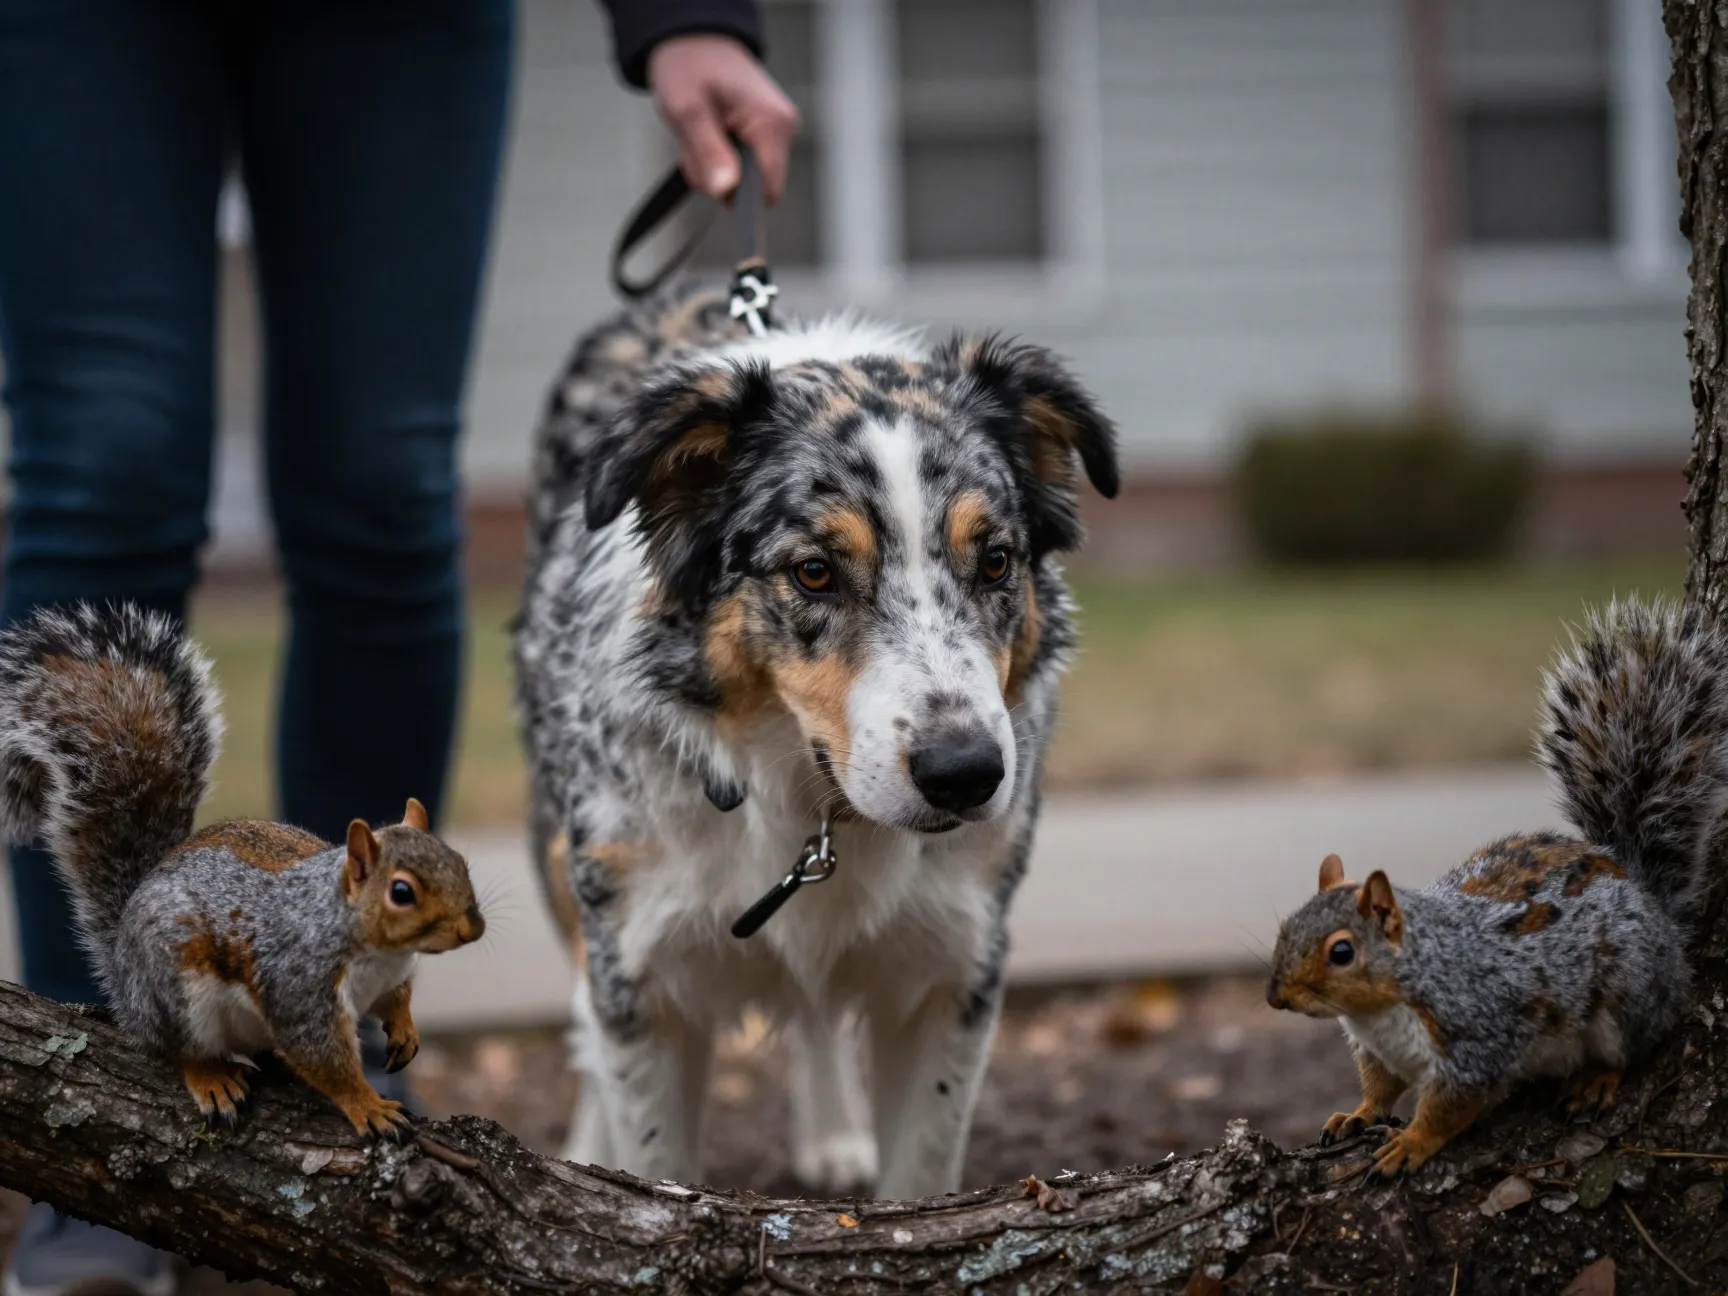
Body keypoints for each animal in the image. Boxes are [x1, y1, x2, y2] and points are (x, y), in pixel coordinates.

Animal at [0, 603, 485, 1139]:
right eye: (401, 892)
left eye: (459, 862)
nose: (472, 928)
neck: (375, 948)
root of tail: (125, 981)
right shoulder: (298, 988)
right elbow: (324, 1061)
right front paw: (367, 1105)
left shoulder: (386, 977)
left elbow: (395, 1000)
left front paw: (404, 1029)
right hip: (174, 990)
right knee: (177, 1048)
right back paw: (210, 1077)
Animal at [1267, 596, 1728, 1179]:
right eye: (1285, 927)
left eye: (1342, 952)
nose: (1275, 997)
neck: (1381, 1012)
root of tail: (1652, 904)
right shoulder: (1379, 1051)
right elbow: (1380, 1086)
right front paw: (1358, 1113)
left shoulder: (1480, 1037)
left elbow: (1450, 1106)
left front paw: (1410, 1143)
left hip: (1626, 994)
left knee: (1635, 1044)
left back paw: (1598, 1079)